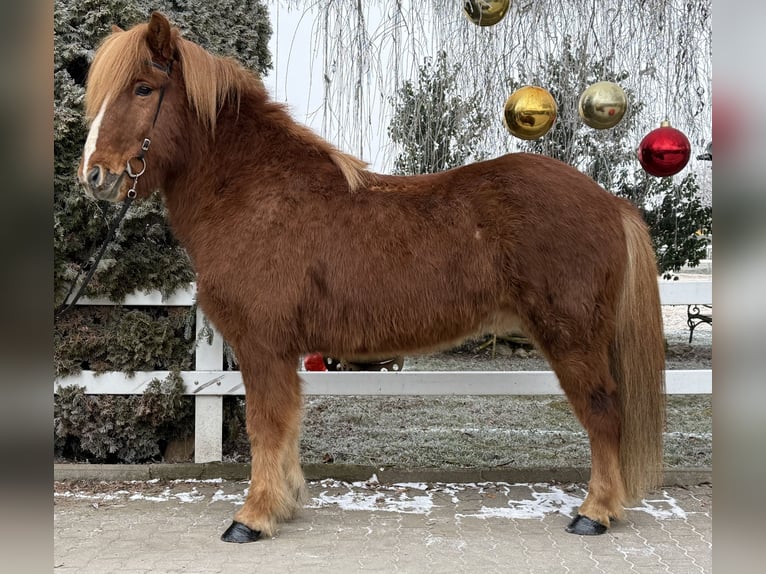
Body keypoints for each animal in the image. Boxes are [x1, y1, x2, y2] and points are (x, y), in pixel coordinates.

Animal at [77, 12, 665, 542]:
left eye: (143, 88)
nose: (94, 175)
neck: (254, 192)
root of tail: (610, 202)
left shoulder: (262, 344)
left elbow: (265, 425)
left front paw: (254, 518)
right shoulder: (281, 351)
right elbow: (286, 427)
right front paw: (285, 503)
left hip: (573, 338)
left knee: (604, 412)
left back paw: (594, 513)